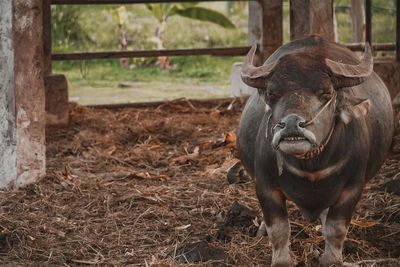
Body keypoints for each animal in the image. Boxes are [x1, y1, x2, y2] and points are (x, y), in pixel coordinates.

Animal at [238, 36, 394, 267]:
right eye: (272, 93)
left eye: (326, 93)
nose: (291, 125)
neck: (311, 166)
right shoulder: (265, 186)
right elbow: (279, 229)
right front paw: (282, 260)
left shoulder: (352, 188)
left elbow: (336, 228)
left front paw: (331, 259)